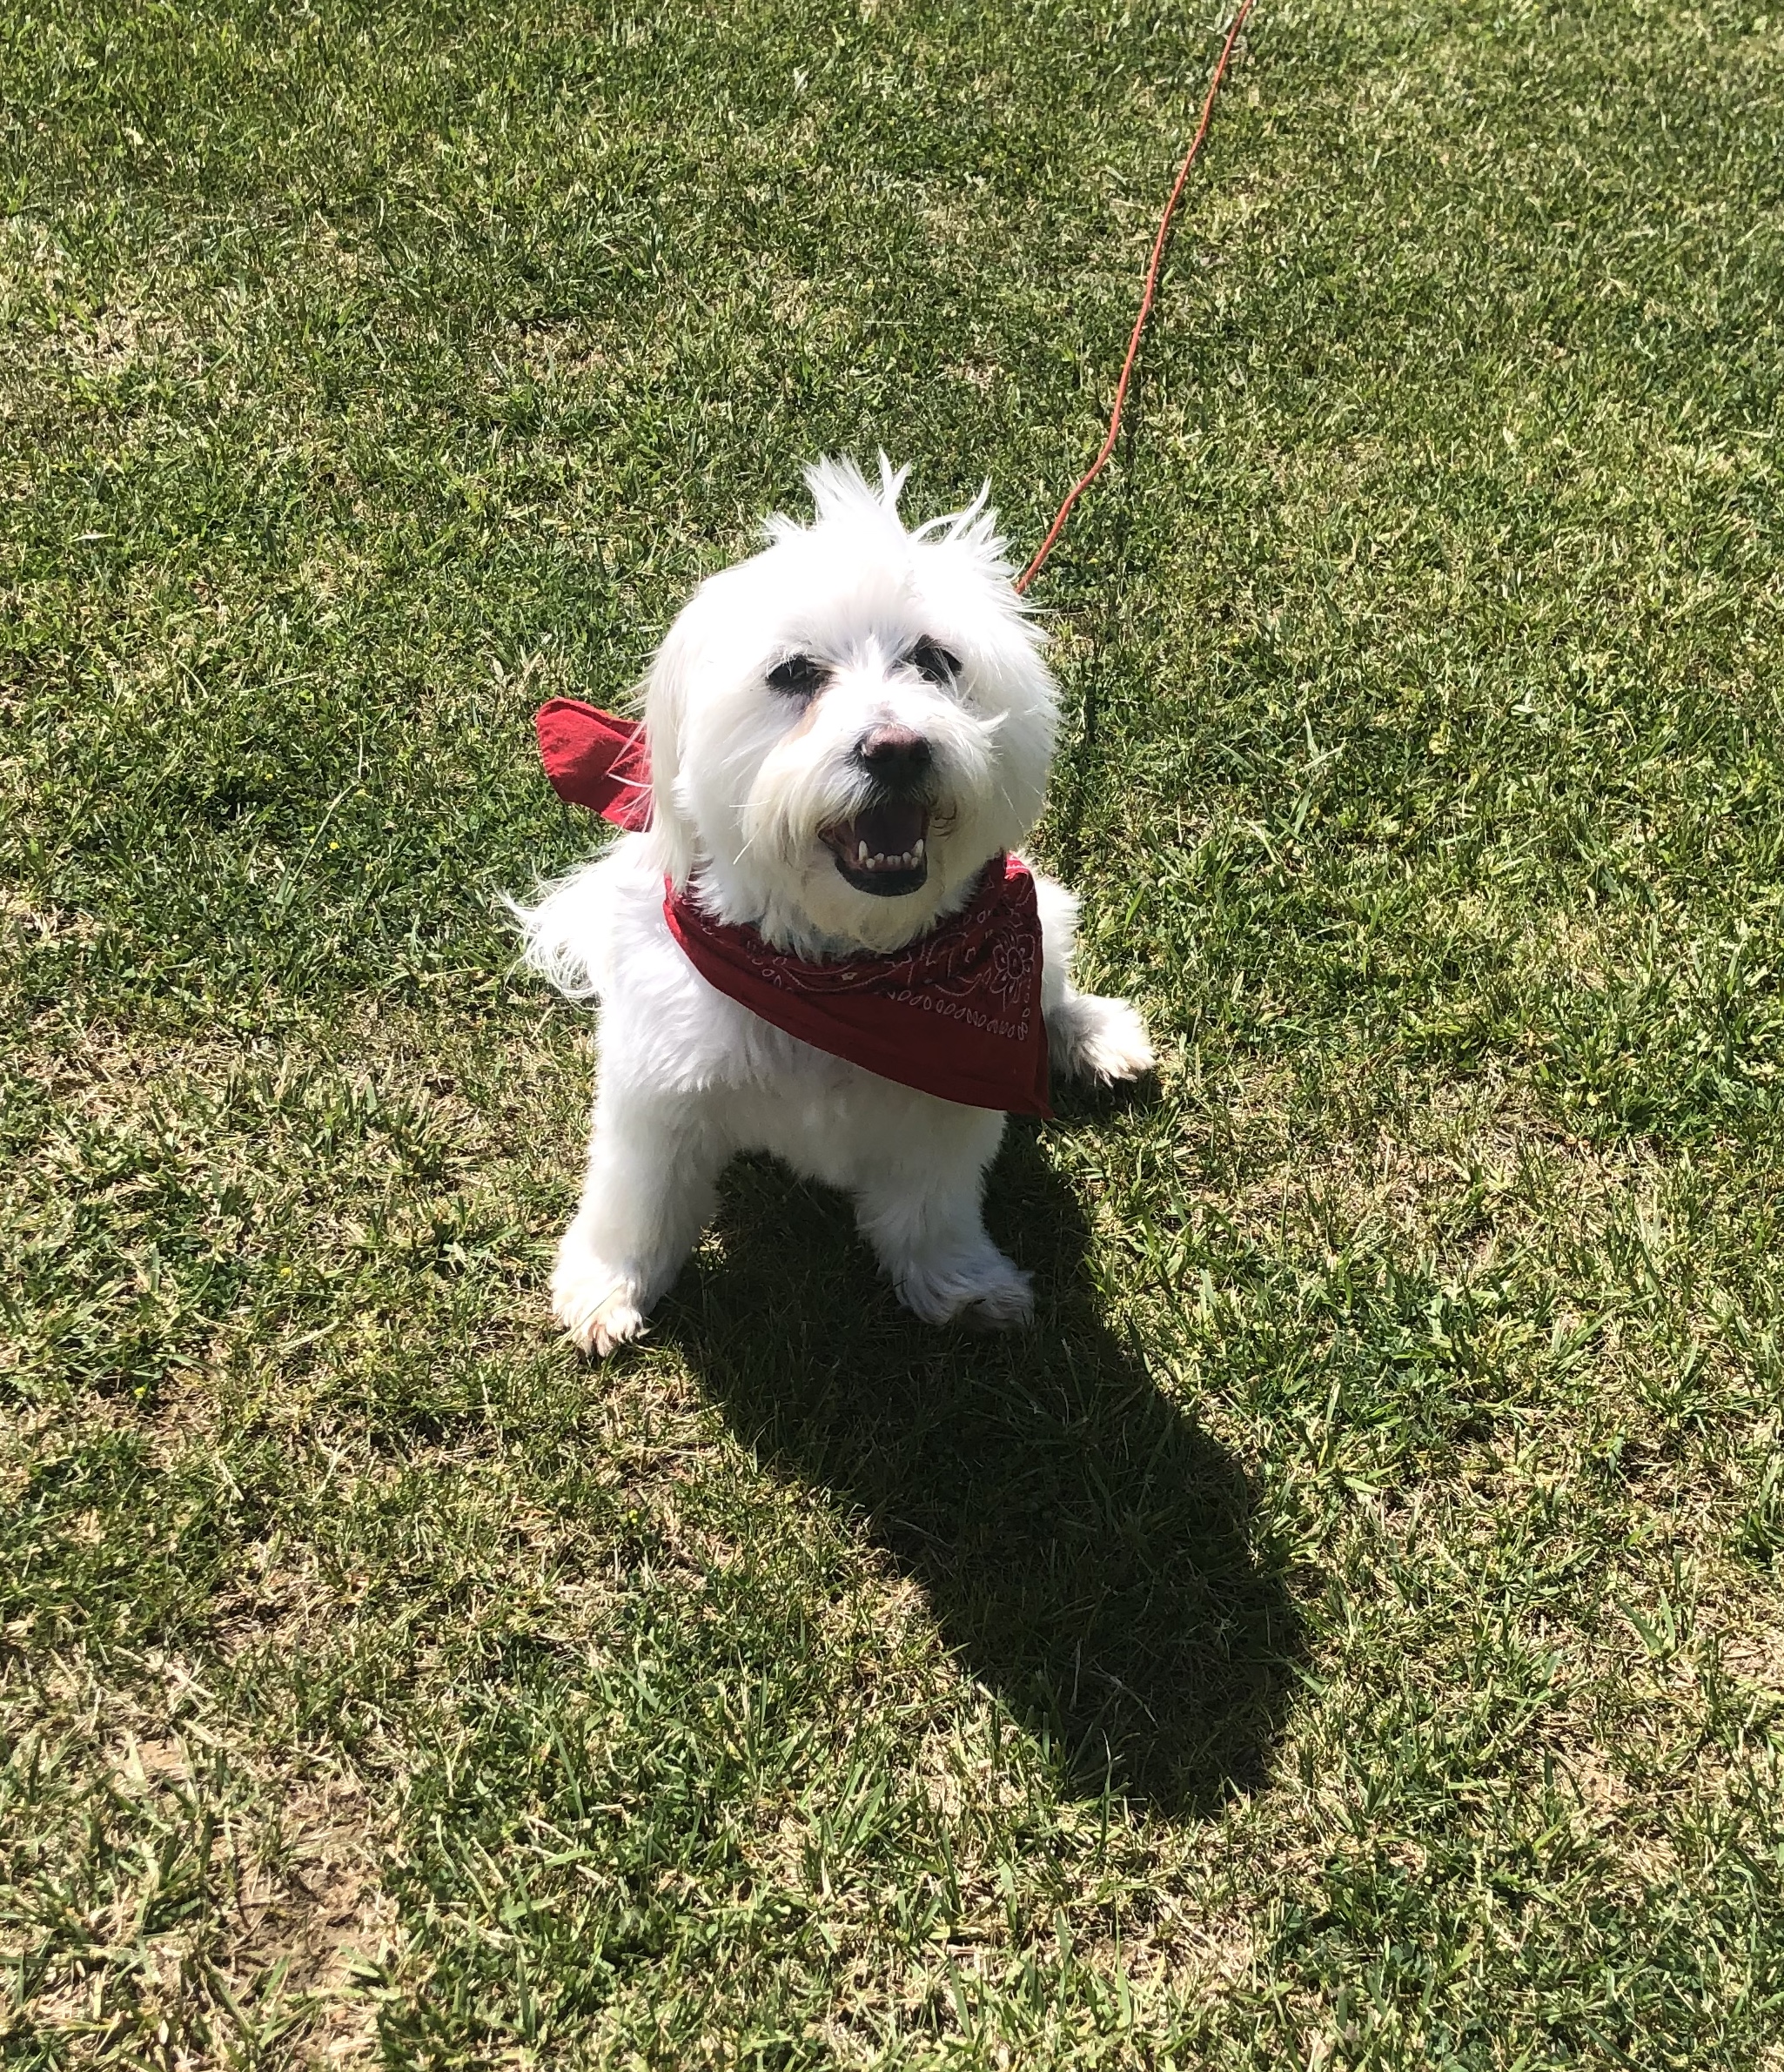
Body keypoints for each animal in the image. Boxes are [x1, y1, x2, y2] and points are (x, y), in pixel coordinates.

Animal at [515, 455, 1151, 1358]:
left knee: (1049, 986)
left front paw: (961, 1283)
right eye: (794, 673)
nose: (897, 749)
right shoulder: (656, 1093)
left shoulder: (945, 1105)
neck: (837, 975)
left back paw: (1087, 1034)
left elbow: (930, 1212)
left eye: (935, 660)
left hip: (1044, 915)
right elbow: (638, 1201)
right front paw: (610, 1284)